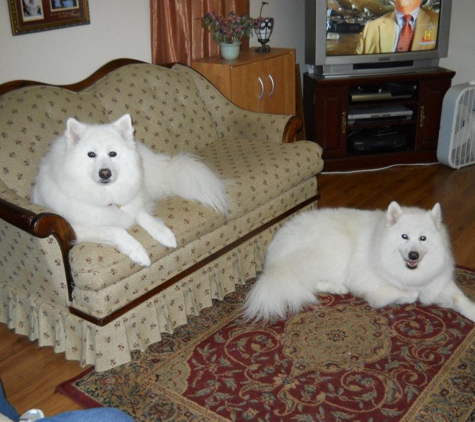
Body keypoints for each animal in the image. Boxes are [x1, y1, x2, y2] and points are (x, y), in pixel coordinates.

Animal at [32, 113, 228, 266]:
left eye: (112, 154)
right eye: (91, 154)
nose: (105, 173)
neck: (107, 195)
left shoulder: (132, 202)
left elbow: (143, 215)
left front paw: (163, 233)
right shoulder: (79, 230)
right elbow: (117, 230)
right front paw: (139, 253)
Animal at [244, 203, 475, 322]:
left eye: (423, 238)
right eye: (404, 237)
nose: (413, 256)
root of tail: (273, 259)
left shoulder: (439, 283)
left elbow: (461, 299)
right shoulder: (367, 283)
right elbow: (406, 294)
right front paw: (409, 295)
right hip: (338, 245)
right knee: (308, 282)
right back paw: (338, 288)